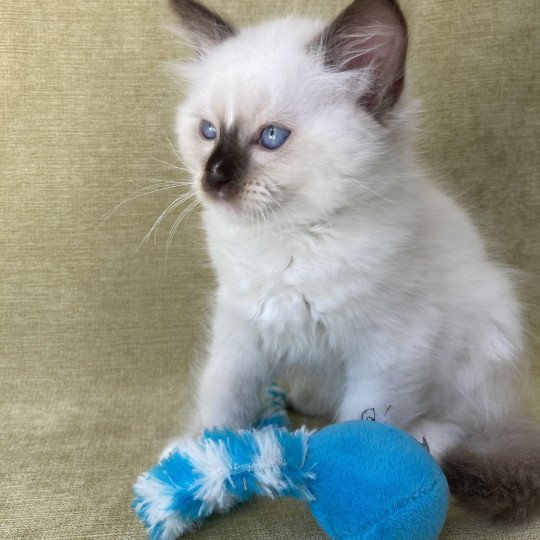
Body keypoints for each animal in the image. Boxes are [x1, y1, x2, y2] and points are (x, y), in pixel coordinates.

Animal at [167, 0, 536, 524]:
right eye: (208, 132)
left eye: (272, 137)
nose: (213, 177)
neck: (289, 241)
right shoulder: (241, 329)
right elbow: (222, 398)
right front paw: (197, 465)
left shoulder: (390, 351)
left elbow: (363, 419)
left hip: (487, 333)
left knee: (466, 428)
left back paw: (429, 441)